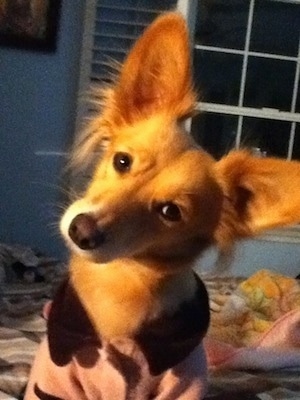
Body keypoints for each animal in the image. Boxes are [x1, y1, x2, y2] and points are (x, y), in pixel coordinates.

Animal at [24, 10, 300, 400]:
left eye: (171, 212)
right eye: (122, 161)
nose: (82, 229)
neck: (121, 281)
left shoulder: (184, 384)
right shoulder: (52, 382)